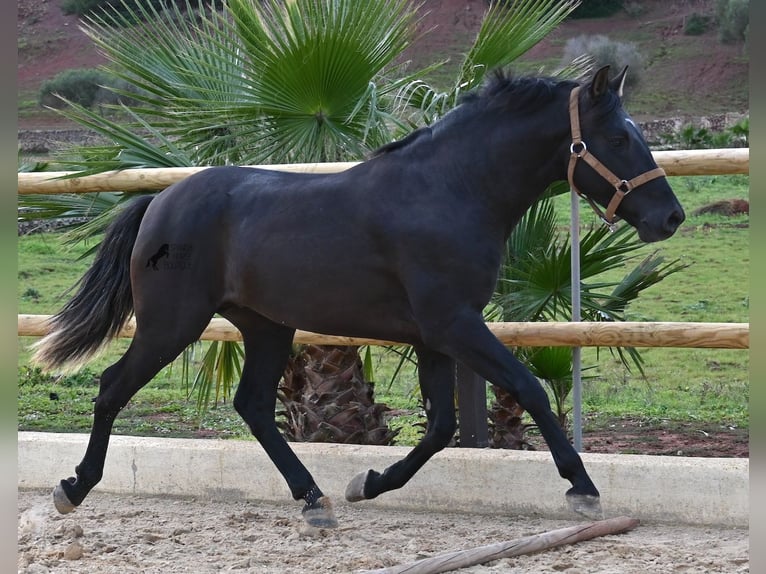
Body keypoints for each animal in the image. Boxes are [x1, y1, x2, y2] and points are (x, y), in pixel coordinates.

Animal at [34, 65, 684, 528]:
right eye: (618, 136)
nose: (670, 217)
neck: (450, 190)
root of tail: (160, 203)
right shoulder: (455, 324)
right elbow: (527, 389)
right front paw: (583, 489)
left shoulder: (436, 335)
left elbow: (442, 426)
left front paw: (367, 484)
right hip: (173, 322)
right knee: (112, 386)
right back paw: (73, 488)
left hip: (267, 326)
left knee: (253, 406)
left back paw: (315, 499)